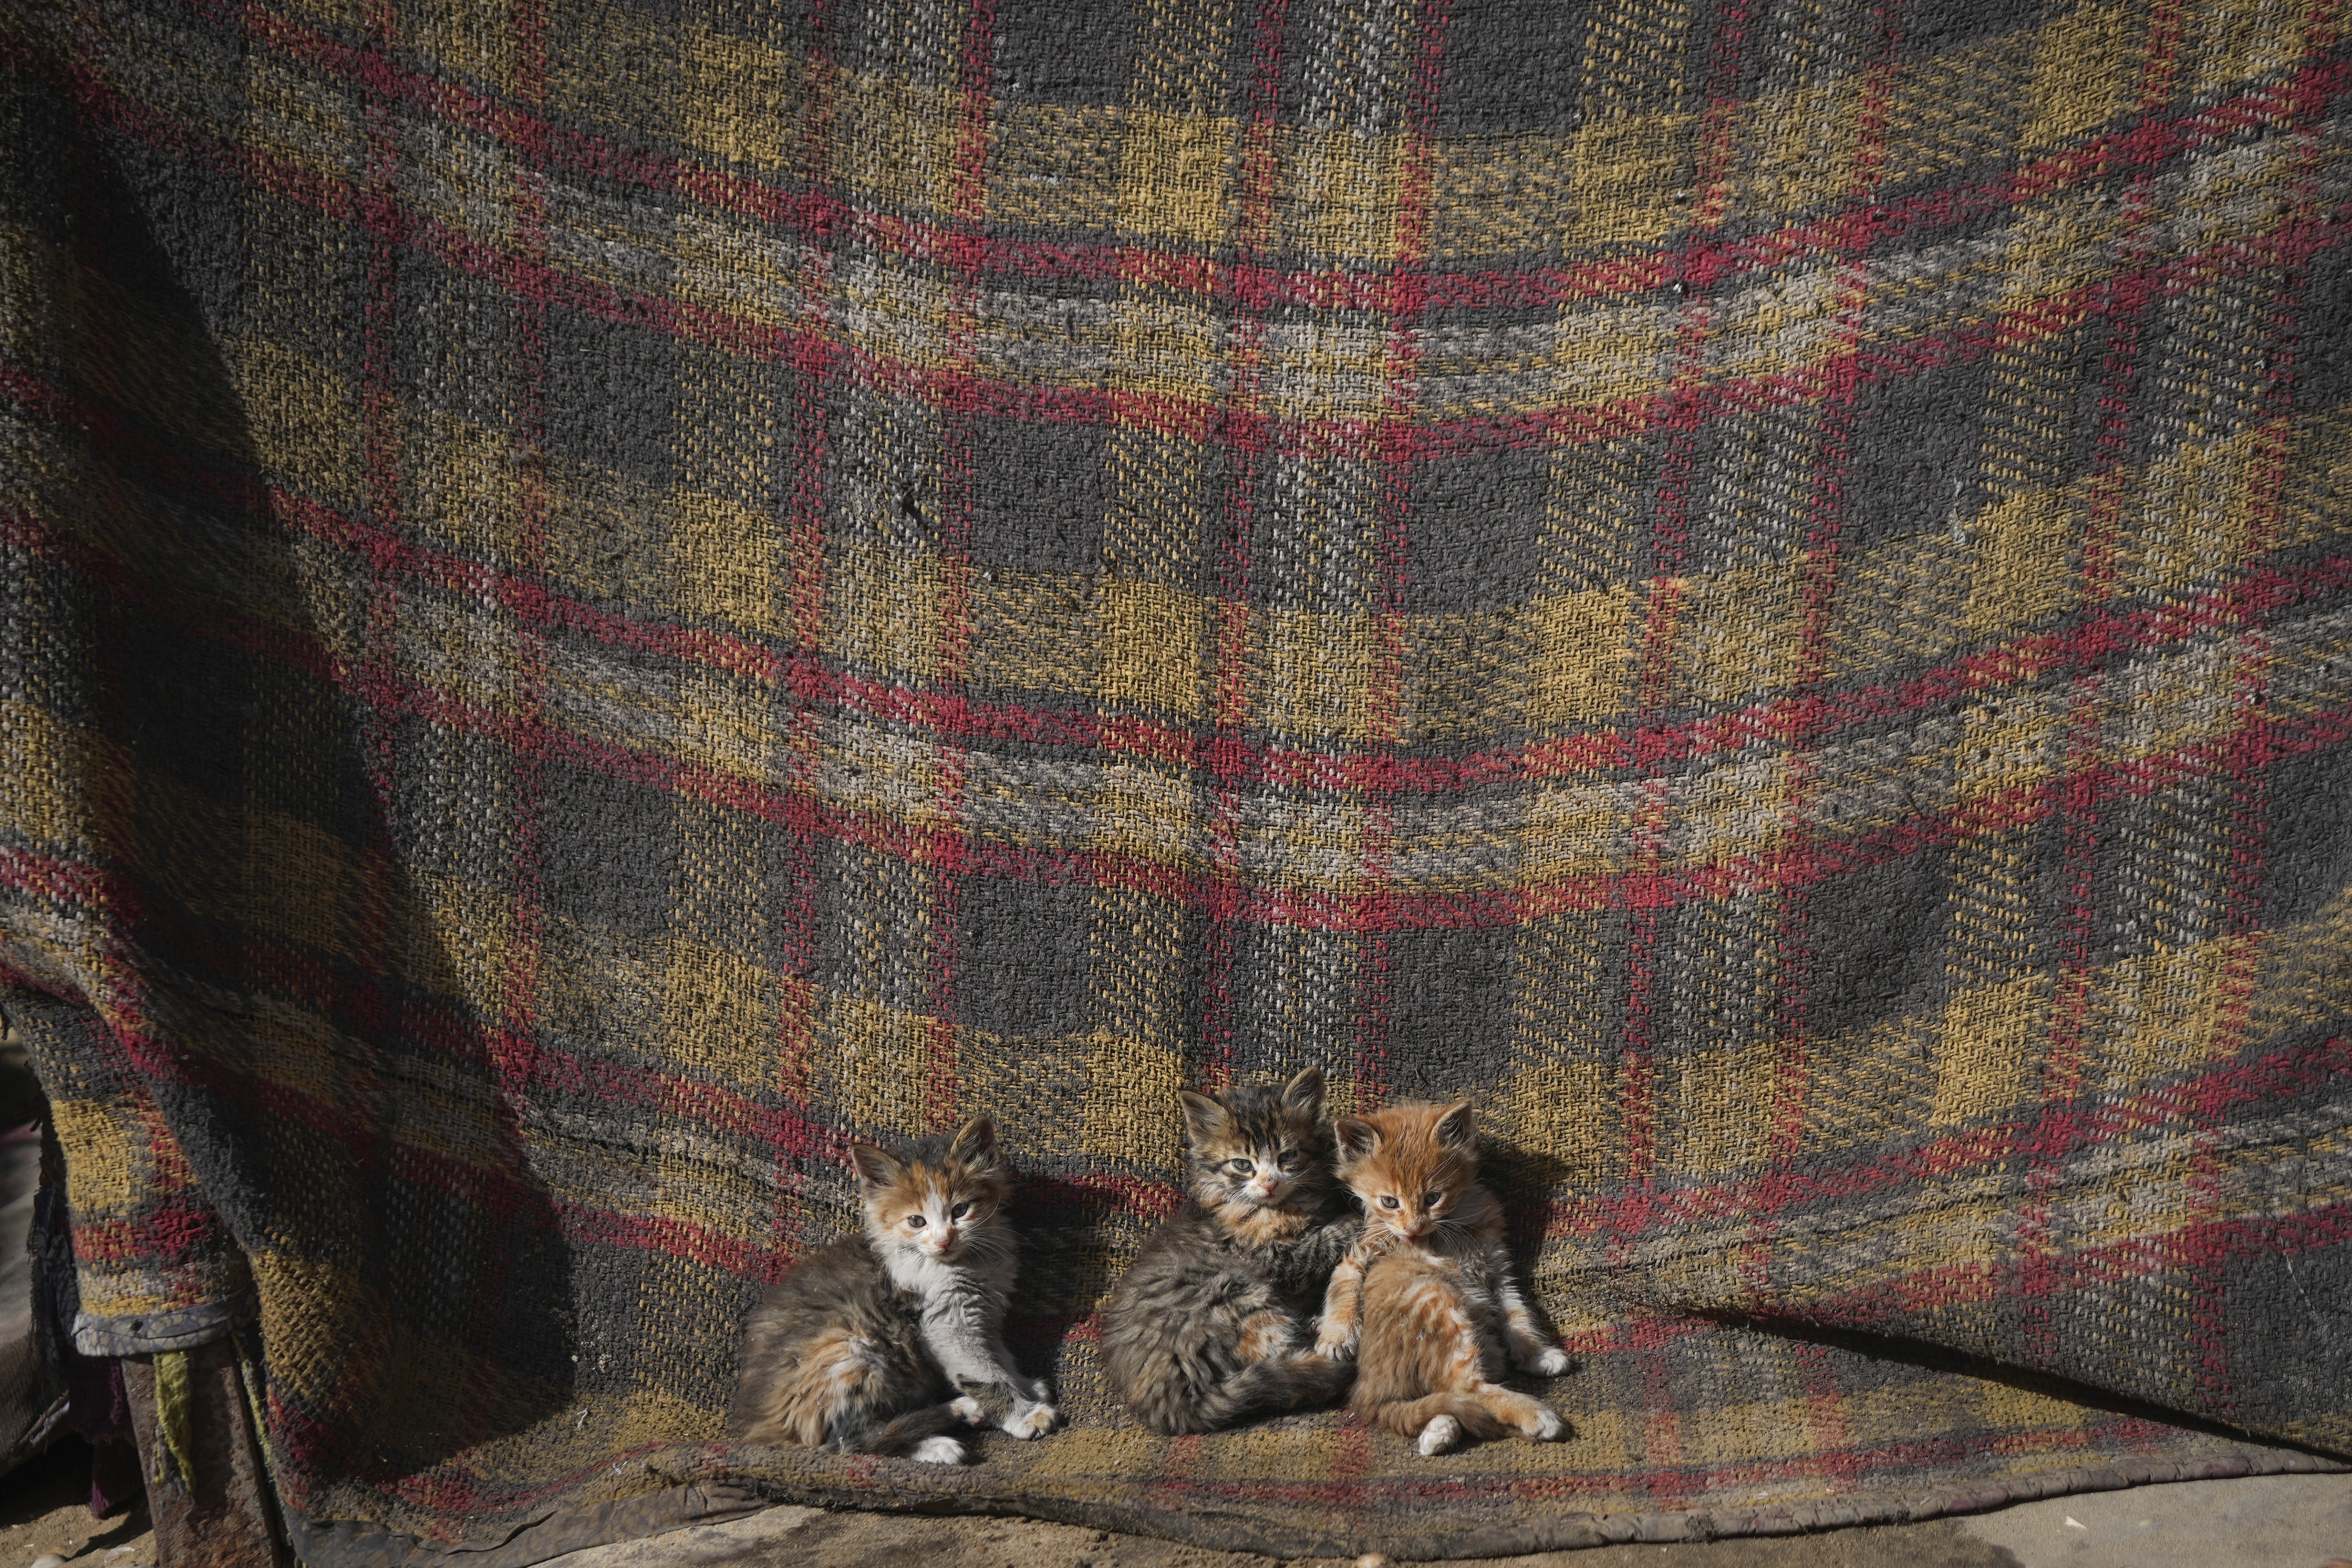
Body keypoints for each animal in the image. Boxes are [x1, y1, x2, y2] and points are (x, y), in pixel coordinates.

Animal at [729, 1114, 1063, 1457]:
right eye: (917, 1222)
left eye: (961, 1210)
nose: (944, 1240)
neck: (967, 1264)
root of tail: (758, 1427)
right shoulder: (947, 1323)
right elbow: (983, 1374)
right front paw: (1024, 1415)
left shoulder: (985, 1313)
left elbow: (1000, 1356)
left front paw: (1024, 1386)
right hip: (847, 1352)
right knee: (849, 1443)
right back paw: (944, 1438)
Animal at [1101, 1067, 1364, 1439]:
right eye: (1242, 1165)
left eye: (1287, 1157)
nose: (1269, 1183)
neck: (1278, 1207)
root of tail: (1168, 1406)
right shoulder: (1273, 1260)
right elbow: (1322, 1241)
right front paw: (1355, 1218)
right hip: (1235, 1292)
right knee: (1278, 1354)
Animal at [1317, 1105, 1571, 1457]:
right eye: (1390, 1202)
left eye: (1433, 1198)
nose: (1413, 1228)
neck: (1454, 1229)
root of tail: (1366, 1394)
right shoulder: (1363, 1252)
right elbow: (1343, 1283)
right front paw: (1336, 1337)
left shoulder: (1499, 1270)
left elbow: (1516, 1316)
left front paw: (1537, 1353)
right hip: (1438, 1300)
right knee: (1465, 1389)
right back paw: (1536, 1416)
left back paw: (1439, 1431)